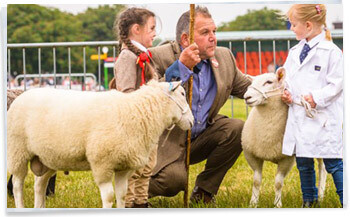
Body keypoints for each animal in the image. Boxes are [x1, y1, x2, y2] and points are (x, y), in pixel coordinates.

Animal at [6, 80, 194, 209]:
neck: (135, 112)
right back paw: (21, 206)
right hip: (18, 151)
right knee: (17, 184)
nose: (192, 121)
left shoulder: (124, 166)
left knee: (39, 185)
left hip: (48, 157)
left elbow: (122, 195)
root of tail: (20, 96)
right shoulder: (102, 164)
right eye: (182, 94)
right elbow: (109, 197)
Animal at [241, 68, 326, 208]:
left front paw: (277, 204)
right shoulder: (252, 156)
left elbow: (278, 183)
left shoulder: (286, 159)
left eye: (269, 82)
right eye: (252, 82)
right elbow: (256, 181)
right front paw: (253, 203)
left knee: (322, 168)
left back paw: (321, 195)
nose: (247, 97)